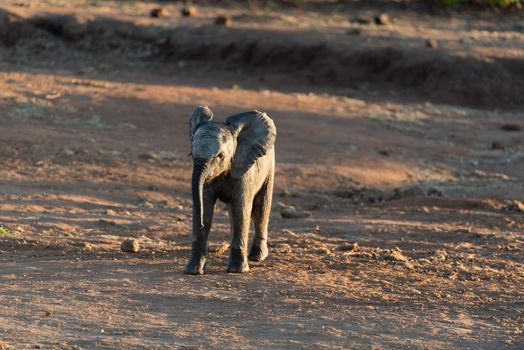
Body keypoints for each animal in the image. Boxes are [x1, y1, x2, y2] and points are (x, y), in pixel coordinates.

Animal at [183, 105, 276, 274]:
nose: (200, 225)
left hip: (269, 166)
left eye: (220, 156)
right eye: (192, 153)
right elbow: (205, 207)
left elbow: (241, 209)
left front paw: (237, 270)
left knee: (261, 208)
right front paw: (192, 271)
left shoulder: (243, 170)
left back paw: (257, 257)